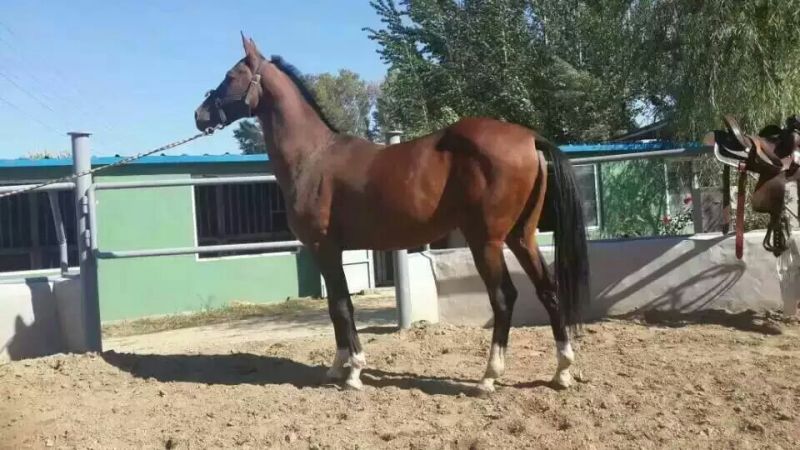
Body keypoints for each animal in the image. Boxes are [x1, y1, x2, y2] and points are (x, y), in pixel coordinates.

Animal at [194, 34, 590, 392]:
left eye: (231, 75)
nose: (200, 115)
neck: (313, 157)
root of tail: (529, 138)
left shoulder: (325, 249)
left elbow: (341, 306)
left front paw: (353, 372)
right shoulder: (330, 251)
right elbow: (338, 306)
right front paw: (338, 367)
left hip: (487, 242)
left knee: (504, 298)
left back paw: (489, 377)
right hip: (522, 237)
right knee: (548, 291)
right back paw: (562, 371)